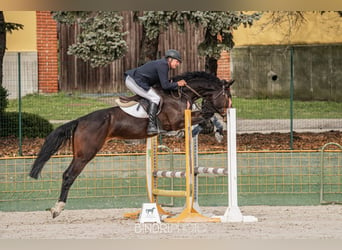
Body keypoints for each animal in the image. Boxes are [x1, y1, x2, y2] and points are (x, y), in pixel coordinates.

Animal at [28, 71, 235, 219]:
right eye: (227, 96)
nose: (227, 112)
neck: (180, 95)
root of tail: (80, 121)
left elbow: (205, 117)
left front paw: (213, 128)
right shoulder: (176, 121)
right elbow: (205, 115)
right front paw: (214, 128)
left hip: (81, 153)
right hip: (85, 154)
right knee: (69, 175)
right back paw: (57, 209)